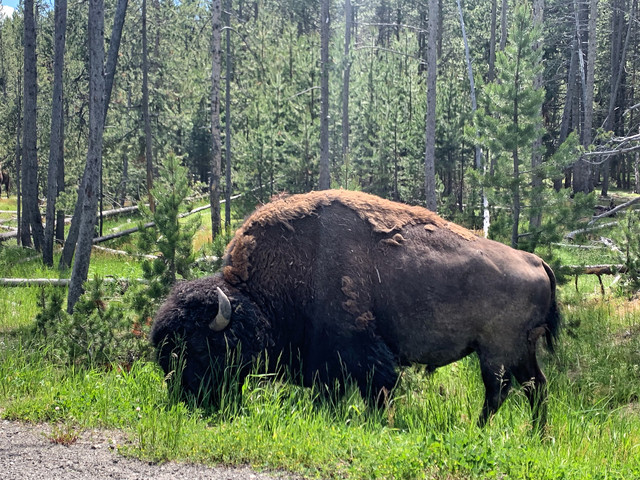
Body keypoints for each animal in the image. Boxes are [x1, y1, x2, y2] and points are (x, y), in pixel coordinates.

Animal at [151, 190, 559, 427]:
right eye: (164, 353)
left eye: (201, 349)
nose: (186, 399)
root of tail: (537, 261)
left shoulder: (363, 350)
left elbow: (379, 387)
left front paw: (380, 424)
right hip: (519, 351)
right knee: (535, 387)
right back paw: (536, 435)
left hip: (497, 351)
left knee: (499, 391)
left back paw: (478, 430)